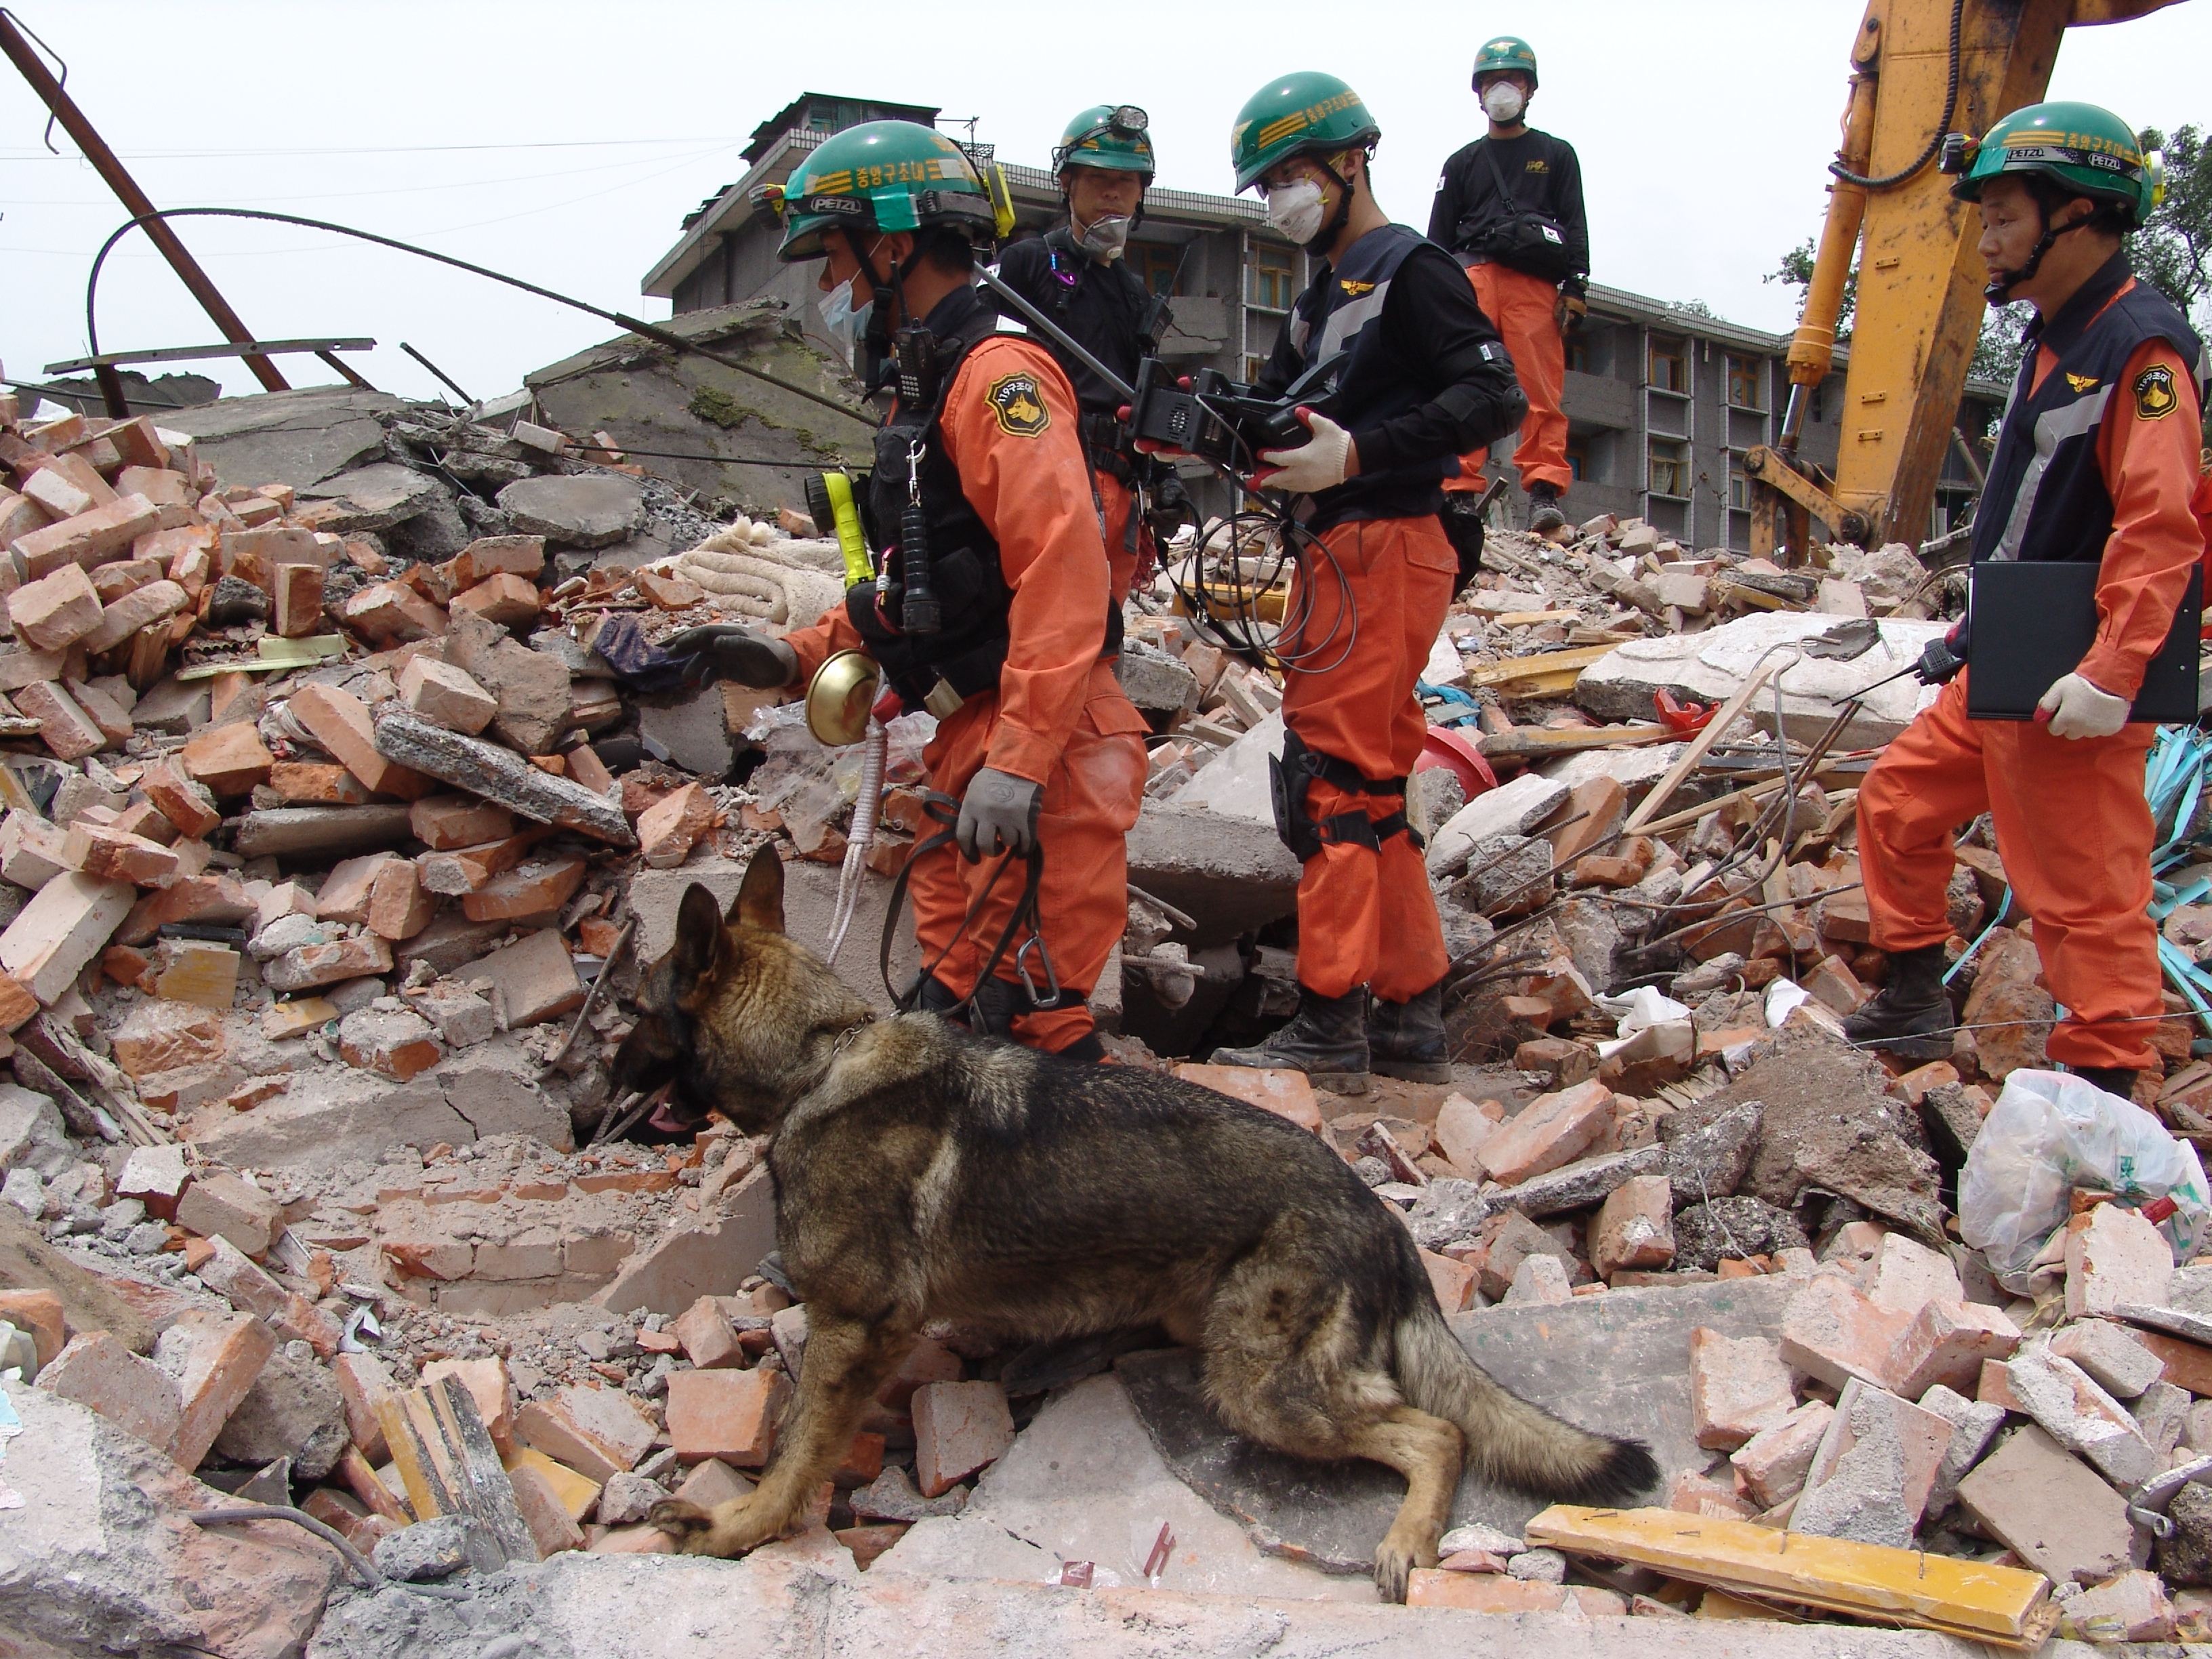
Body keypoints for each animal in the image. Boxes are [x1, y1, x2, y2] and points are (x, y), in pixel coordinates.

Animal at [615, 849, 1654, 1601]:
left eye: (633, 1011)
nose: (592, 1085)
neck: (816, 1060)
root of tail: (1374, 1213)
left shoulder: (851, 1333)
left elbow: (796, 1456)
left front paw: (739, 1529)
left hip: (1262, 1389)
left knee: (1438, 1435)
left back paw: (1407, 1543)